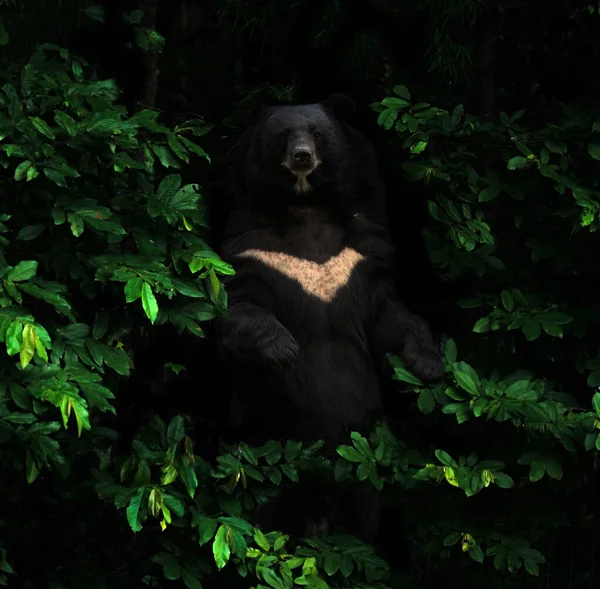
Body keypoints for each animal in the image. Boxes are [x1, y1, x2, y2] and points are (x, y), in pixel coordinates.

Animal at [213, 94, 442, 540]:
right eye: (284, 134)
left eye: (318, 134)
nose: (302, 156)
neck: (305, 205)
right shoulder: (254, 249)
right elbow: (235, 307)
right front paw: (283, 349)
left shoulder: (361, 254)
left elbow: (391, 317)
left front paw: (428, 365)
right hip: (262, 451)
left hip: (364, 463)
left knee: (367, 517)